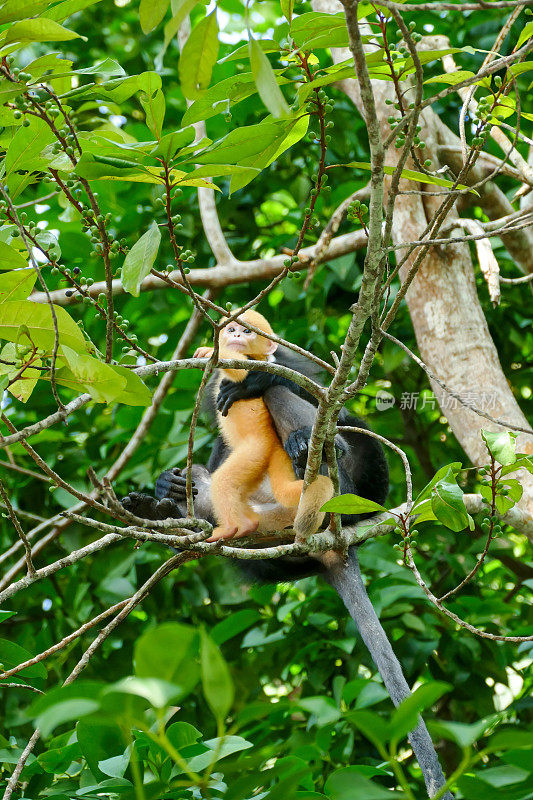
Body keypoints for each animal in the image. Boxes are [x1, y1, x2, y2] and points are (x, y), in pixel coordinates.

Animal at [191, 310, 332, 540]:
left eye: (247, 331)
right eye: (231, 329)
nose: (236, 335)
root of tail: (274, 446)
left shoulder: (249, 363)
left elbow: (240, 373)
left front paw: (210, 351)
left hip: (254, 452)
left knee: (223, 481)